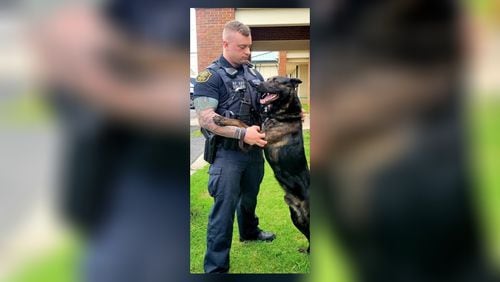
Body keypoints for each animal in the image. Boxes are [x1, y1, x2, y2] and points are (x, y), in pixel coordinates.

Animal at [214, 76, 310, 252]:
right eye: (268, 79)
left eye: (275, 81)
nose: (256, 85)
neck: (285, 114)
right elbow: (244, 123)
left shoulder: (261, 136)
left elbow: (241, 123)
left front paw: (221, 119)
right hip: (296, 217)